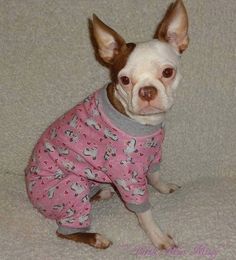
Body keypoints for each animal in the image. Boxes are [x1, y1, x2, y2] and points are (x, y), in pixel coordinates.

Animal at [24, 0, 189, 252]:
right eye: (124, 80)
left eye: (168, 72)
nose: (147, 91)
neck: (144, 123)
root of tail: (31, 195)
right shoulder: (126, 175)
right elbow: (144, 212)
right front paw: (158, 237)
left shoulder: (153, 154)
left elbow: (155, 175)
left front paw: (163, 187)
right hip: (70, 188)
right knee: (64, 230)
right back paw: (96, 237)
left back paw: (101, 193)